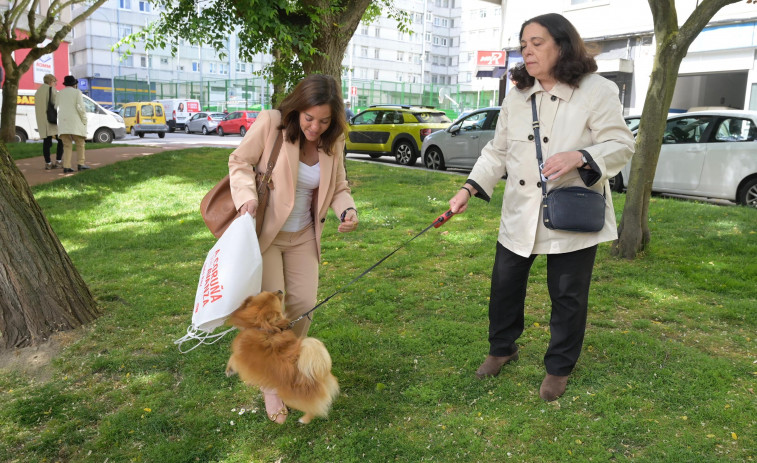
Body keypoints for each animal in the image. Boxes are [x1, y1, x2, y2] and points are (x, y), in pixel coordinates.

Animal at [223, 292, 338, 426]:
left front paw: (229, 370)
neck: (258, 326)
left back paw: (304, 419)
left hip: (292, 399)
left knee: (314, 409)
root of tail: (314, 376)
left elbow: (232, 359)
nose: (279, 291)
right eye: (269, 293)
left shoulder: (238, 356)